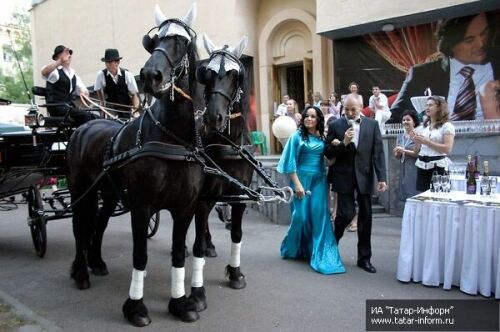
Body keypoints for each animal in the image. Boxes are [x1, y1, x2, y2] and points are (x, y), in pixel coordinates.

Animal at [66, 4, 209, 326]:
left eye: (182, 42)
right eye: (153, 41)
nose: (150, 75)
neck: (172, 140)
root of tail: (85, 126)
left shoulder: (184, 208)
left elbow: (178, 254)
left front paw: (179, 303)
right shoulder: (142, 207)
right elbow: (140, 256)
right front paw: (136, 308)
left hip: (108, 193)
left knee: (100, 222)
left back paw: (96, 262)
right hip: (81, 190)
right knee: (80, 226)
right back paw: (80, 272)